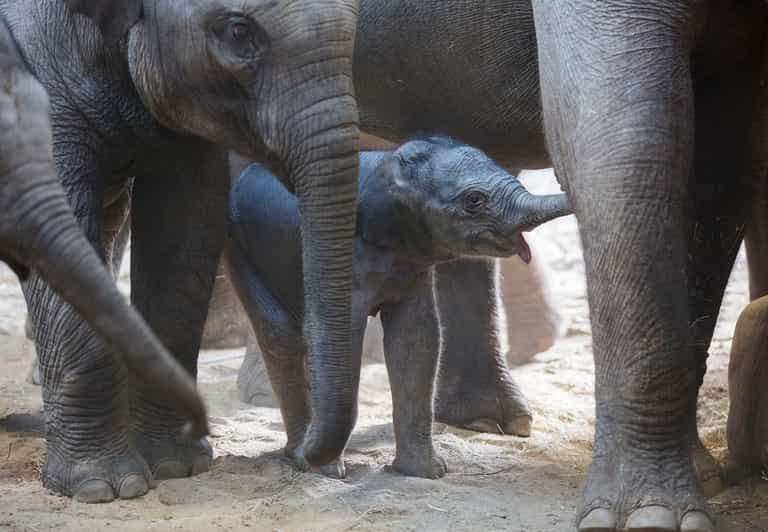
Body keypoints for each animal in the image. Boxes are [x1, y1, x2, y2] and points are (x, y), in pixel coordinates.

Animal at [226, 136, 571, 479]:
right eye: (473, 200)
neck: (389, 164)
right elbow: (342, 335)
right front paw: (329, 470)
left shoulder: (412, 259)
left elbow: (415, 337)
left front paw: (424, 472)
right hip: (242, 248)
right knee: (281, 334)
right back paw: (301, 456)